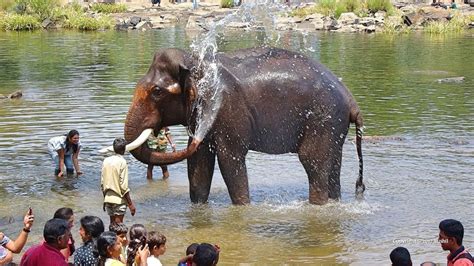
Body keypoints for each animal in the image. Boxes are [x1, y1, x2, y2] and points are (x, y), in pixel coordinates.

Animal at [122, 47, 362, 206]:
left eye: (157, 92)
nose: (117, 143)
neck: (197, 65)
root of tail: (351, 100)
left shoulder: (227, 109)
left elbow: (230, 160)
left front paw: (243, 208)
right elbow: (199, 163)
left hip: (322, 120)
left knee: (313, 163)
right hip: (334, 127)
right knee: (333, 166)